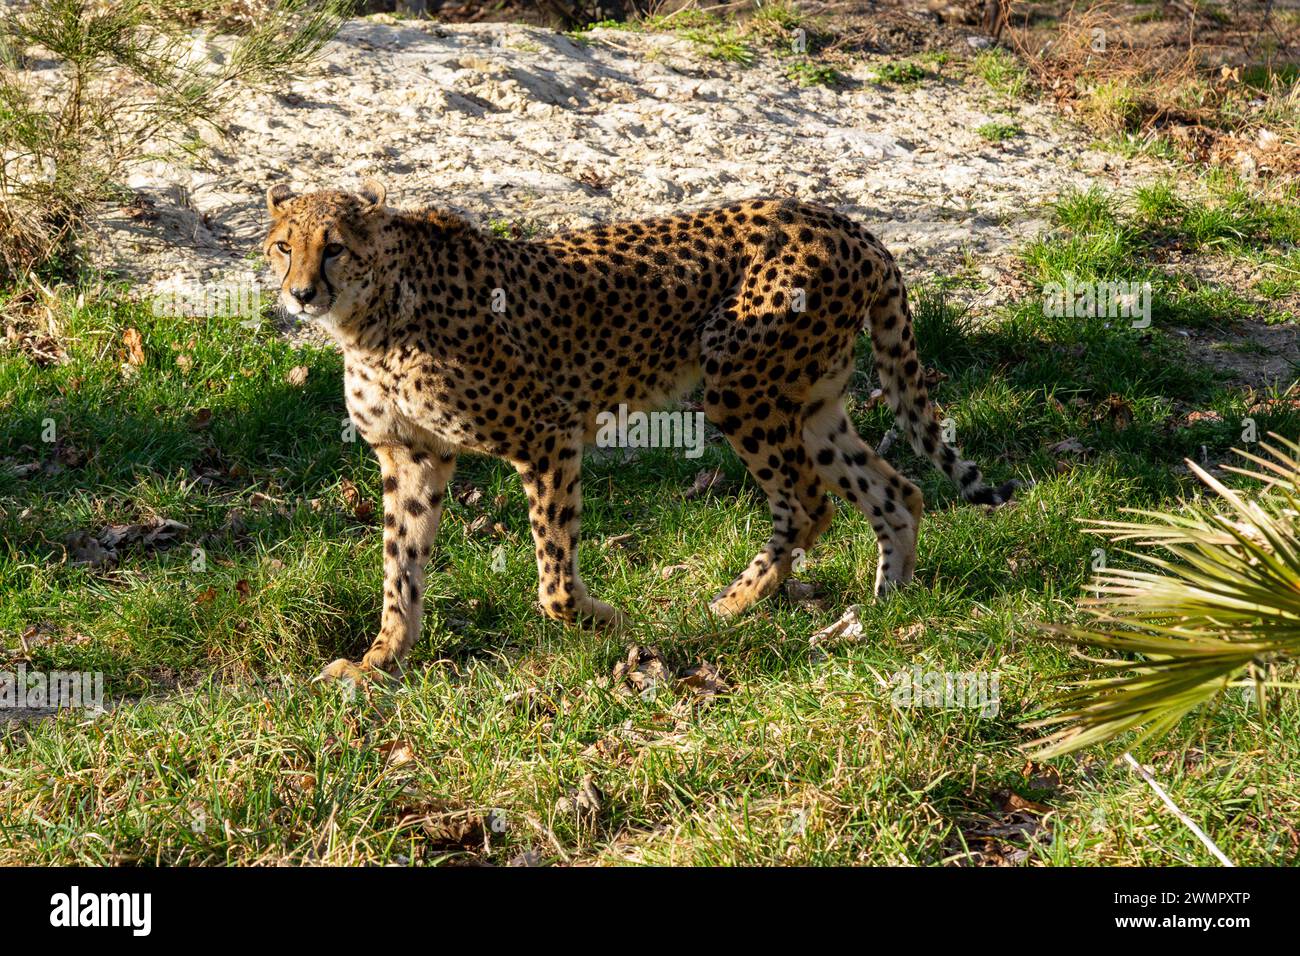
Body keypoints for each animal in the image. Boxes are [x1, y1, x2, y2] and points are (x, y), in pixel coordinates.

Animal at [262, 179, 1018, 682]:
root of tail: (843, 222)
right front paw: (380, 659)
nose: (300, 294)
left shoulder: (548, 435)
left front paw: (606, 621)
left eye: (334, 248)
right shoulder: (412, 456)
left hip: (741, 385)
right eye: (281, 247)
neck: (372, 317)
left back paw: (735, 602)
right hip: (811, 404)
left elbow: (553, 580)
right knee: (895, 492)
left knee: (808, 504)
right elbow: (402, 567)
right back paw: (888, 603)